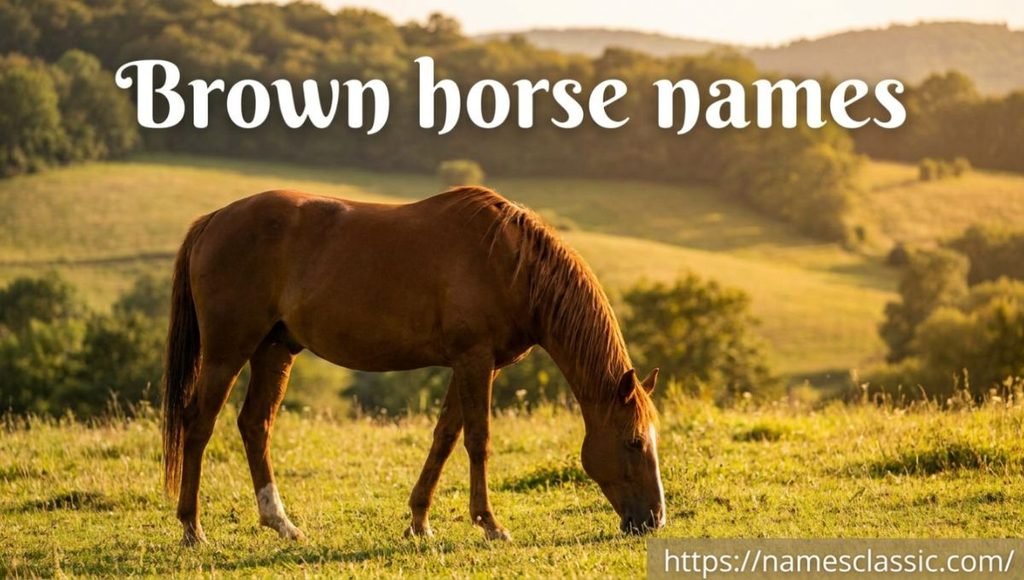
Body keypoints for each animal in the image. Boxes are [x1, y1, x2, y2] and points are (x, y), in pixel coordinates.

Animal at [162, 186, 665, 545]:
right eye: (634, 442)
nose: (655, 519)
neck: (511, 263)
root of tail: (212, 221)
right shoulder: (475, 360)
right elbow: (478, 440)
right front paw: (489, 523)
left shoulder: (475, 364)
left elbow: (445, 437)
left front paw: (419, 521)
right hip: (227, 351)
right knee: (199, 423)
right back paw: (192, 527)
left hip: (274, 350)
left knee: (255, 425)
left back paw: (281, 523)